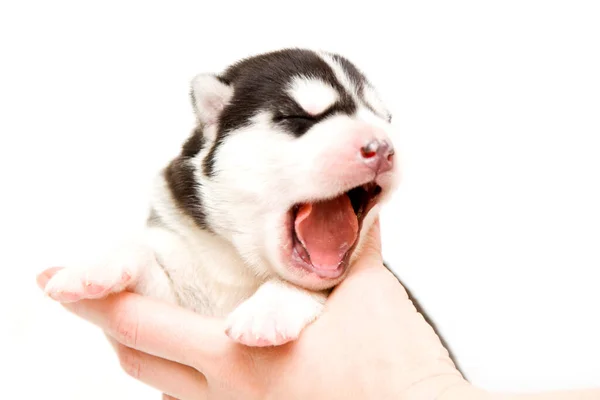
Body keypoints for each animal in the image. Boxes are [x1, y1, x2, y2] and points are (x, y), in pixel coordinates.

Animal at [44, 47, 400, 346]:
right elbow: (143, 255)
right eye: (299, 117)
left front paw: (270, 309)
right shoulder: (176, 299)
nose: (382, 147)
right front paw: (93, 267)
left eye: (385, 120)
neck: (240, 263)